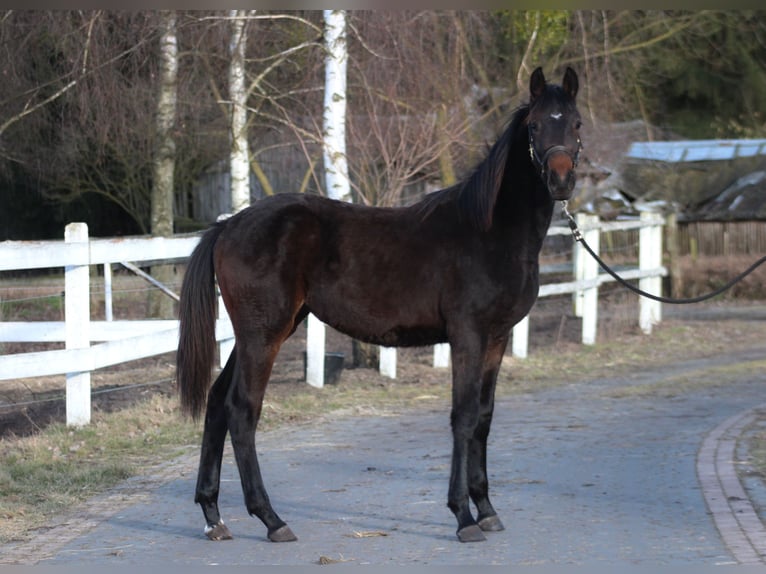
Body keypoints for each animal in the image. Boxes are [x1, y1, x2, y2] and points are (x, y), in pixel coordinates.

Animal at [176, 66, 582, 544]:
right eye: (535, 126)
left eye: (576, 123)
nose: (560, 180)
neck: (489, 230)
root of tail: (229, 225)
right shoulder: (467, 335)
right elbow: (463, 417)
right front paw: (463, 517)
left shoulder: (497, 338)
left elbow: (483, 416)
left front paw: (486, 509)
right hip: (264, 334)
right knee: (242, 410)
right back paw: (272, 519)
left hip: (262, 332)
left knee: (218, 401)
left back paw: (213, 516)